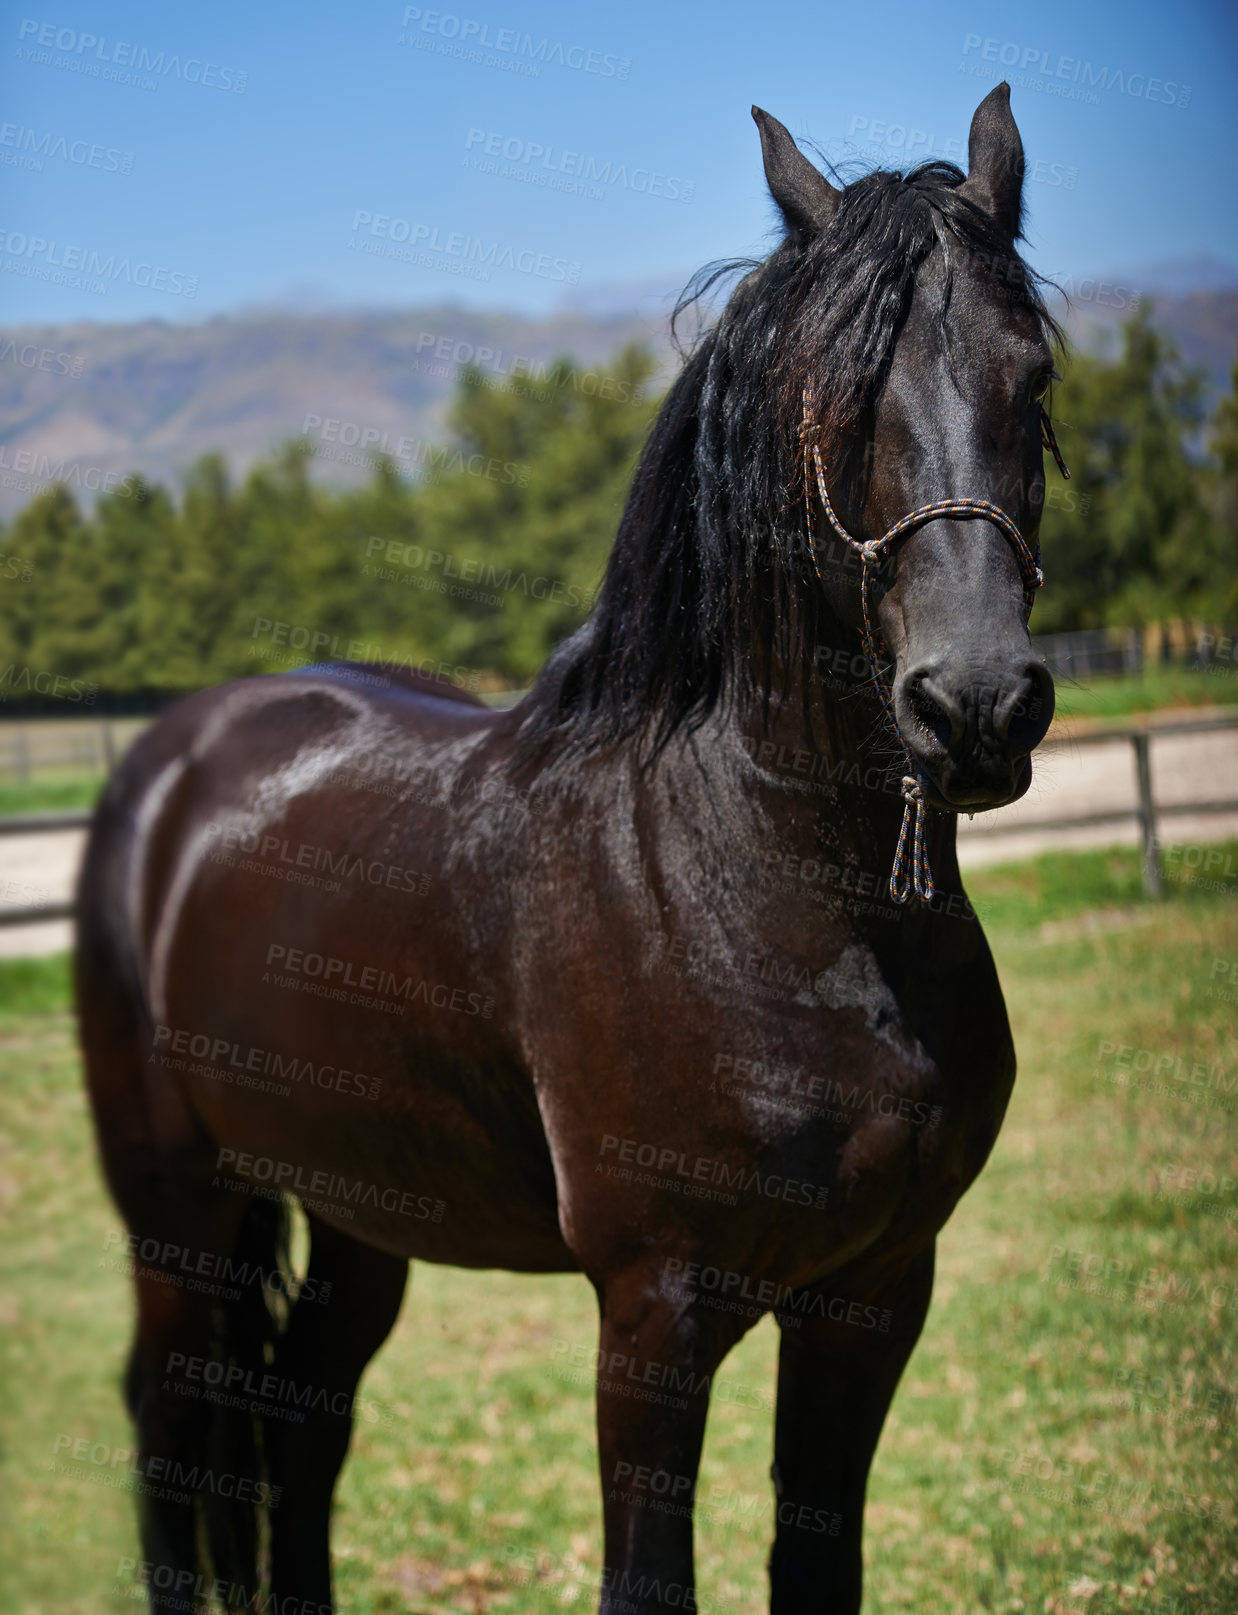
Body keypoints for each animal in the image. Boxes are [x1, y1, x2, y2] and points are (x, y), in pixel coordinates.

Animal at [77, 85, 1065, 1615]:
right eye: (832, 403)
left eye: (1036, 382)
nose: (974, 706)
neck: (778, 893)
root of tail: (173, 760)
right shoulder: (654, 1307)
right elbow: (644, 1579)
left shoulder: (873, 1291)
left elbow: (815, 1562)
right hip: (175, 1206)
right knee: (168, 1424)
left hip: (354, 1211)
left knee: (301, 1420)